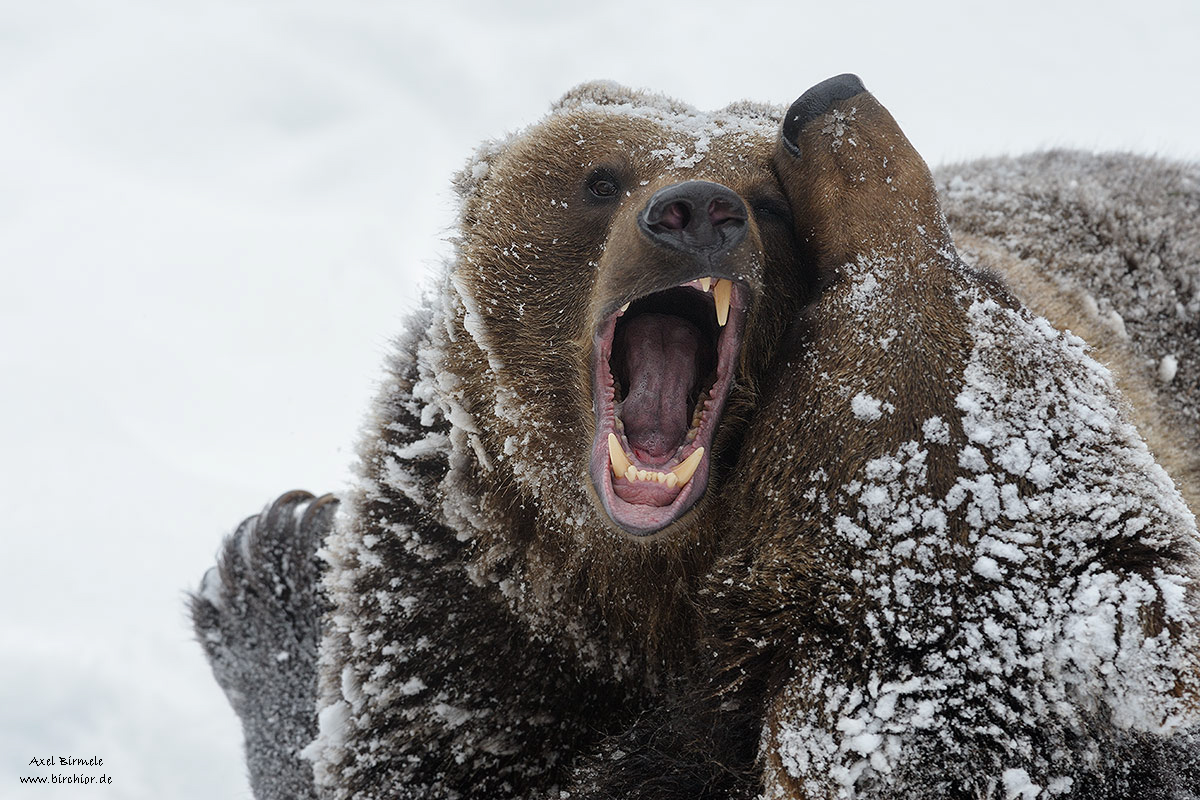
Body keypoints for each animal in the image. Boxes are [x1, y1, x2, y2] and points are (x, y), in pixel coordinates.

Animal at [189, 74, 1200, 800]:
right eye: (598, 178)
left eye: (770, 204)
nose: (696, 208)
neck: (638, 590)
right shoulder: (465, 587)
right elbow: (416, 741)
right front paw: (277, 579)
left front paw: (270, 576)